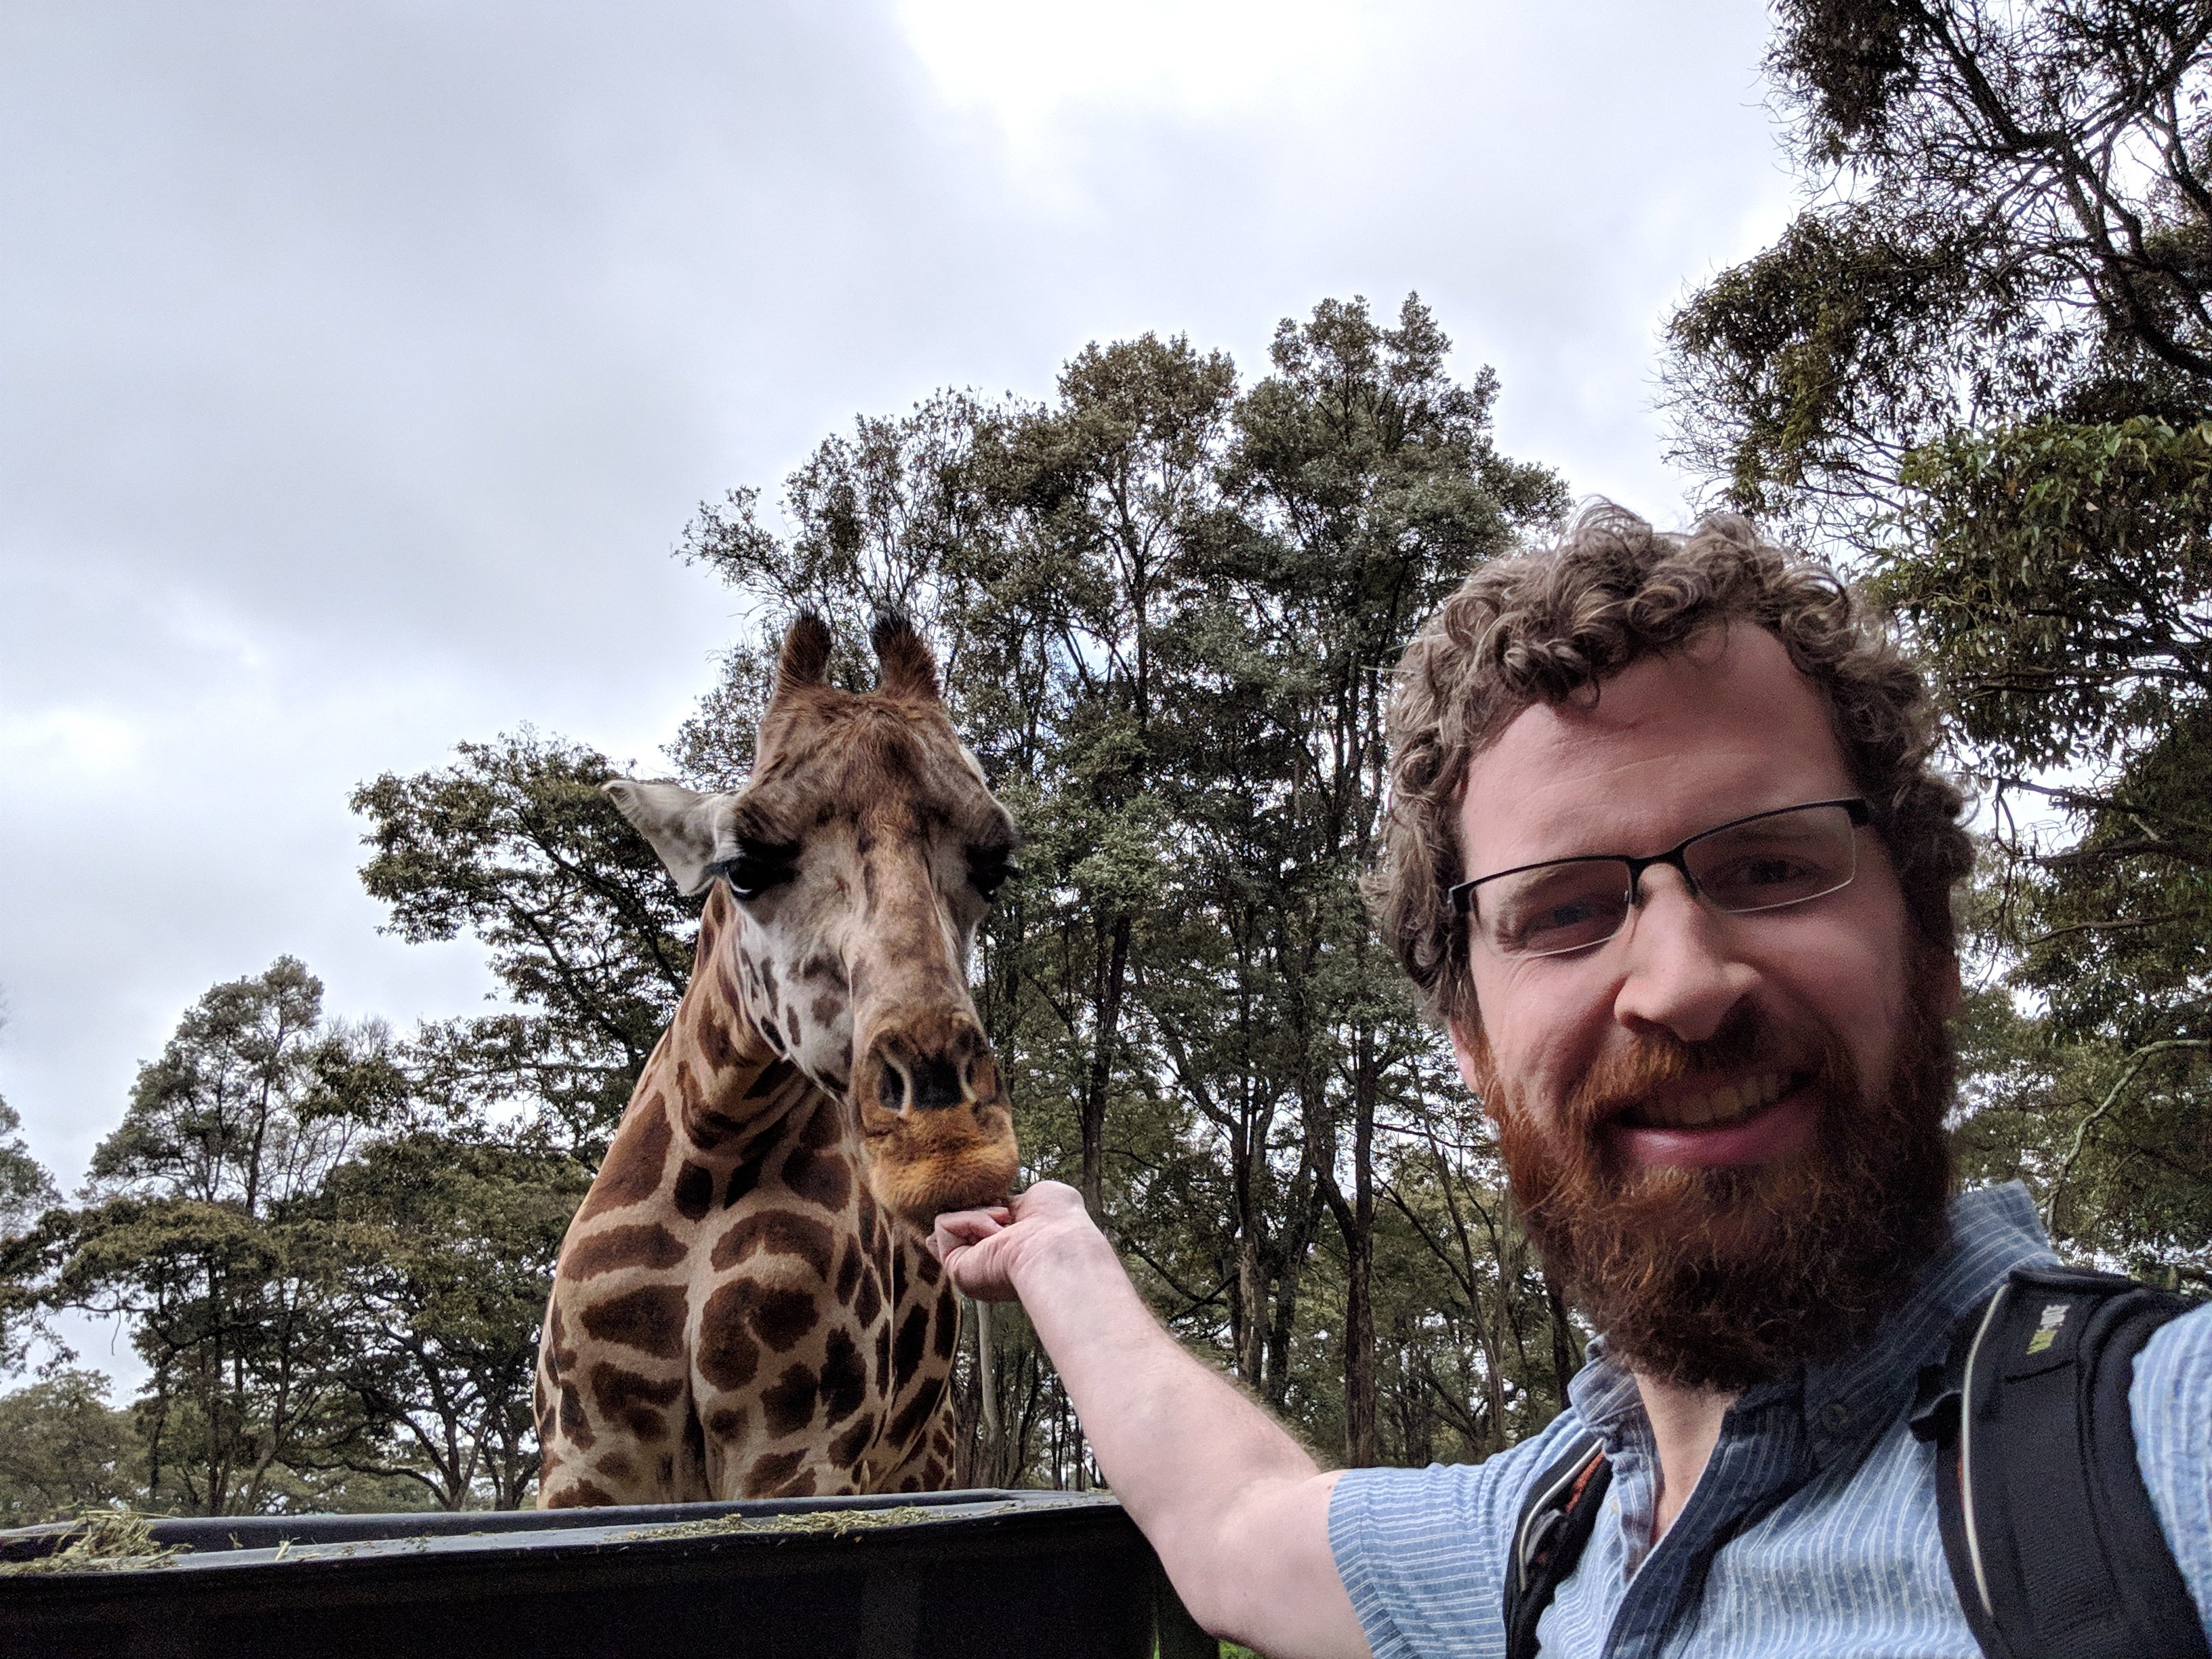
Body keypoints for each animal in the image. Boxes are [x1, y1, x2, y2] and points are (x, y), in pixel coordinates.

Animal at [535, 619, 1017, 1513]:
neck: (715, 1145)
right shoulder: (586, 1456)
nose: (948, 1152)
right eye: (745, 866)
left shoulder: (800, 1449)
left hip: (923, 1456)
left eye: (995, 865)